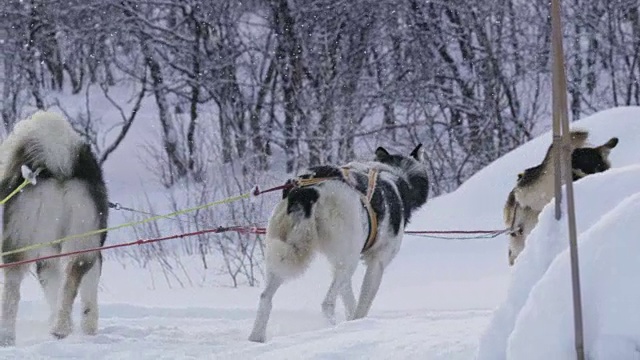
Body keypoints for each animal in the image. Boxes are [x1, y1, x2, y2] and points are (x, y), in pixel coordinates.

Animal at [0, 110, 108, 346]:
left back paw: (8, 337)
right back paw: (60, 328)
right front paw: (88, 328)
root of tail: (58, 166)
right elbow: (83, 294)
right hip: (80, 239)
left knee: (12, 291)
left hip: (20, 240)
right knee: (70, 282)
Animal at [248, 144, 428, 344]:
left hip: (285, 257)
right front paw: (357, 322)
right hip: (349, 261)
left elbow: (350, 300)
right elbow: (362, 304)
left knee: (266, 297)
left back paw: (256, 337)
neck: (394, 176)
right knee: (327, 303)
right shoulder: (377, 263)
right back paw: (332, 329)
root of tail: (309, 190)